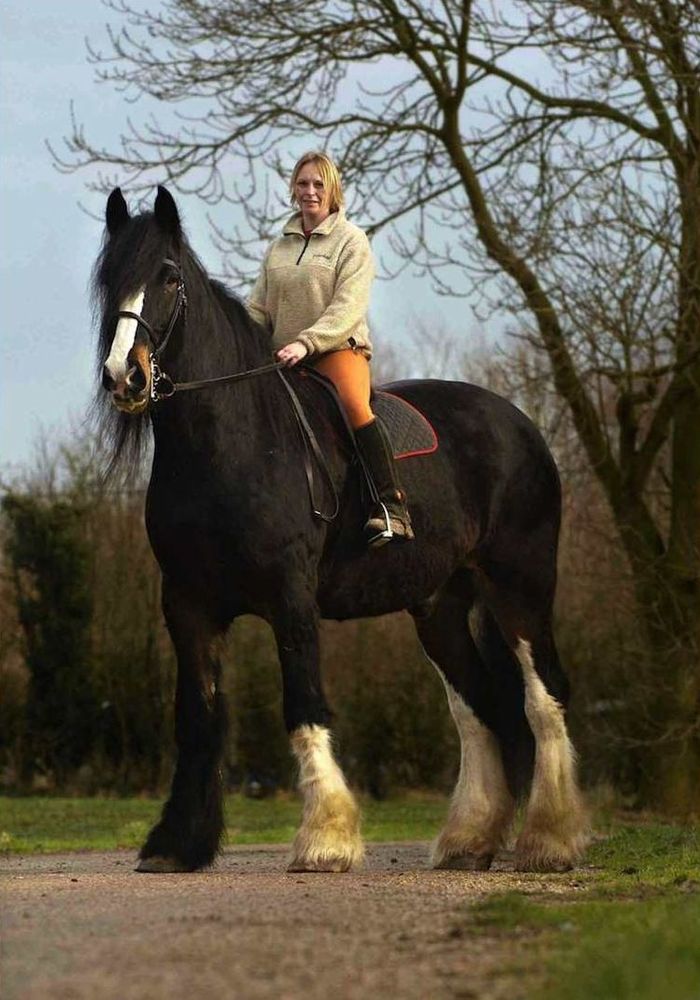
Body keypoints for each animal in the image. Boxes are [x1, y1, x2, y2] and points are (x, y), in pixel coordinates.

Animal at [94, 185, 587, 875]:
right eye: (110, 276)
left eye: (168, 276)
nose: (125, 377)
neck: (231, 444)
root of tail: (520, 425)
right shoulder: (187, 608)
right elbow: (197, 719)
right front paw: (176, 845)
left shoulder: (291, 599)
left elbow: (304, 707)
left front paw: (326, 838)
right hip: (439, 606)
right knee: (478, 709)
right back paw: (469, 840)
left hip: (521, 587)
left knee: (544, 697)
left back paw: (551, 840)